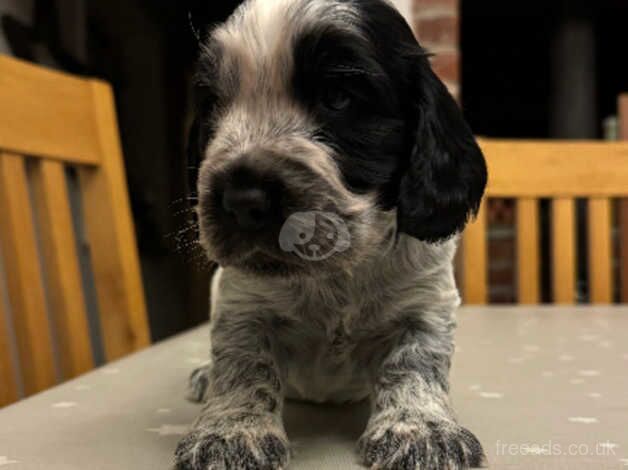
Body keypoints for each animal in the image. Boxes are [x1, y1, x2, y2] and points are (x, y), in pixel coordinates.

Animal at [177, 0, 486, 470]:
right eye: (214, 104)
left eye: (338, 97)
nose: (241, 199)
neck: (337, 272)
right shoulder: (243, 306)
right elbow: (244, 366)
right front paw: (233, 431)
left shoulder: (426, 303)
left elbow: (414, 362)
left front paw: (421, 429)